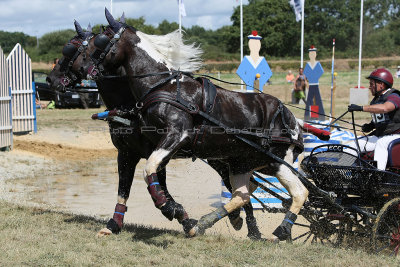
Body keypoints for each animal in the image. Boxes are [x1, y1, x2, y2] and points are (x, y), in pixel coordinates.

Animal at [47, 21, 262, 241]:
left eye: (71, 48)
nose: (51, 79)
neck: (129, 104)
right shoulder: (126, 153)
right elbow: (124, 188)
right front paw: (114, 224)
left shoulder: (159, 150)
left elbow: (159, 185)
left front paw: (180, 215)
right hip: (220, 157)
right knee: (244, 186)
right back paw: (241, 221)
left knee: (244, 187)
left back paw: (249, 226)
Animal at [69, 9, 310, 242]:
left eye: (100, 41)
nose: (82, 68)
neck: (162, 86)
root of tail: (291, 118)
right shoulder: (141, 149)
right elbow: (141, 179)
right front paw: (173, 212)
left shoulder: (176, 135)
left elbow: (149, 170)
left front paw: (168, 207)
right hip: (242, 162)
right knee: (242, 194)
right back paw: (204, 223)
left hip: (278, 161)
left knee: (300, 192)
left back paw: (282, 231)